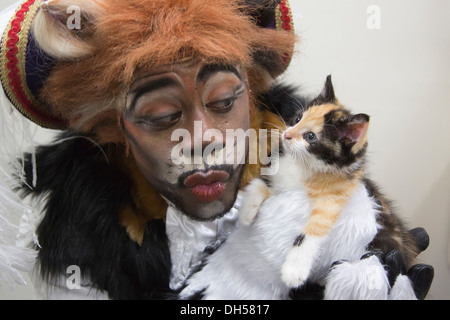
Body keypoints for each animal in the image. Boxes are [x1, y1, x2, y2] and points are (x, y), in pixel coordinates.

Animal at [241, 76, 420, 288]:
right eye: (297, 119)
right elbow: (260, 184)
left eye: (310, 137)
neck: (303, 165)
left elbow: (313, 232)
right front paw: (247, 211)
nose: (286, 135)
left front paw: (294, 271)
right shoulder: (278, 178)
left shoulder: (334, 199)